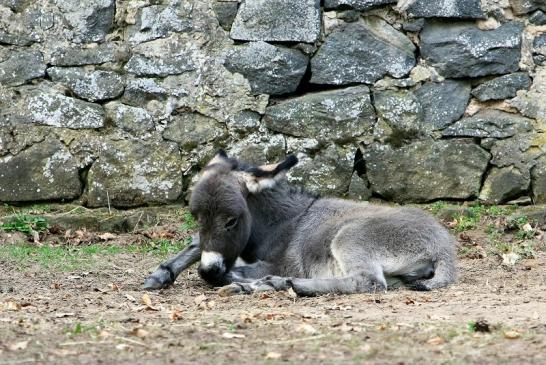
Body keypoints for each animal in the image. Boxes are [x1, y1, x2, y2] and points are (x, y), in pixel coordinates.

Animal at [143, 151, 454, 296]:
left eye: (231, 220)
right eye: (196, 217)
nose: (209, 269)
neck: (278, 224)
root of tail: (445, 246)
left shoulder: (277, 262)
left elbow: (232, 271)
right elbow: (198, 245)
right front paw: (162, 273)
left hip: (350, 237)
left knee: (368, 282)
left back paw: (280, 284)